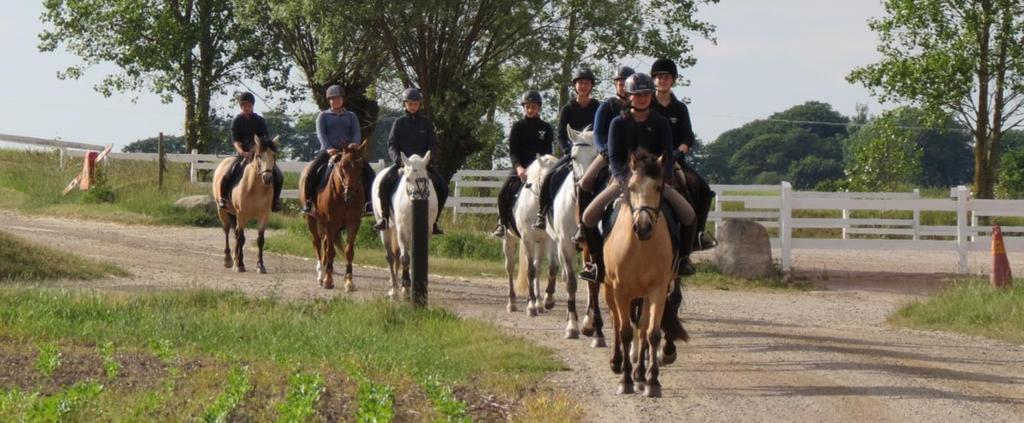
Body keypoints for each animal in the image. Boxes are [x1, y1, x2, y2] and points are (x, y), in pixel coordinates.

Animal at [299, 141, 368, 290]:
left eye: (360, 166)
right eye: (343, 165)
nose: (350, 193)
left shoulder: (354, 223)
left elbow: (348, 251)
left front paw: (349, 281)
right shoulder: (331, 222)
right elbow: (330, 251)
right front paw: (328, 280)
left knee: (324, 243)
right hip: (311, 219)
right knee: (317, 243)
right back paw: (321, 274)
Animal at [370, 149, 438, 299]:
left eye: (426, 178)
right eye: (407, 179)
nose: (418, 198)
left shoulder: (425, 232)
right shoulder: (402, 230)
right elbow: (405, 258)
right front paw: (406, 289)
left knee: (395, 256)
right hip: (386, 229)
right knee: (390, 256)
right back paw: (394, 289)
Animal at [503, 153, 561, 315]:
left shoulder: (550, 240)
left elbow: (552, 267)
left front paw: (548, 300)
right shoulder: (527, 238)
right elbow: (529, 271)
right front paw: (530, 307)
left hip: (540, 242)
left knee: (538, 267)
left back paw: (539, 302)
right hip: (509, 238)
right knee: (510, 266)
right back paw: (512, 303)